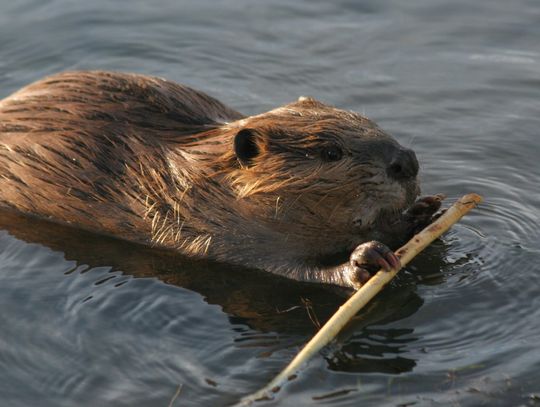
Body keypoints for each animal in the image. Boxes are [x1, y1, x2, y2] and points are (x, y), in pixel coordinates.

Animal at [0, 72, 440, 290]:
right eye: (330, 152)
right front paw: (365, 260)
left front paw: (425, 211)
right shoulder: (215, 232)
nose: (407, 162)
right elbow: (287, 270)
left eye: (370, 121)